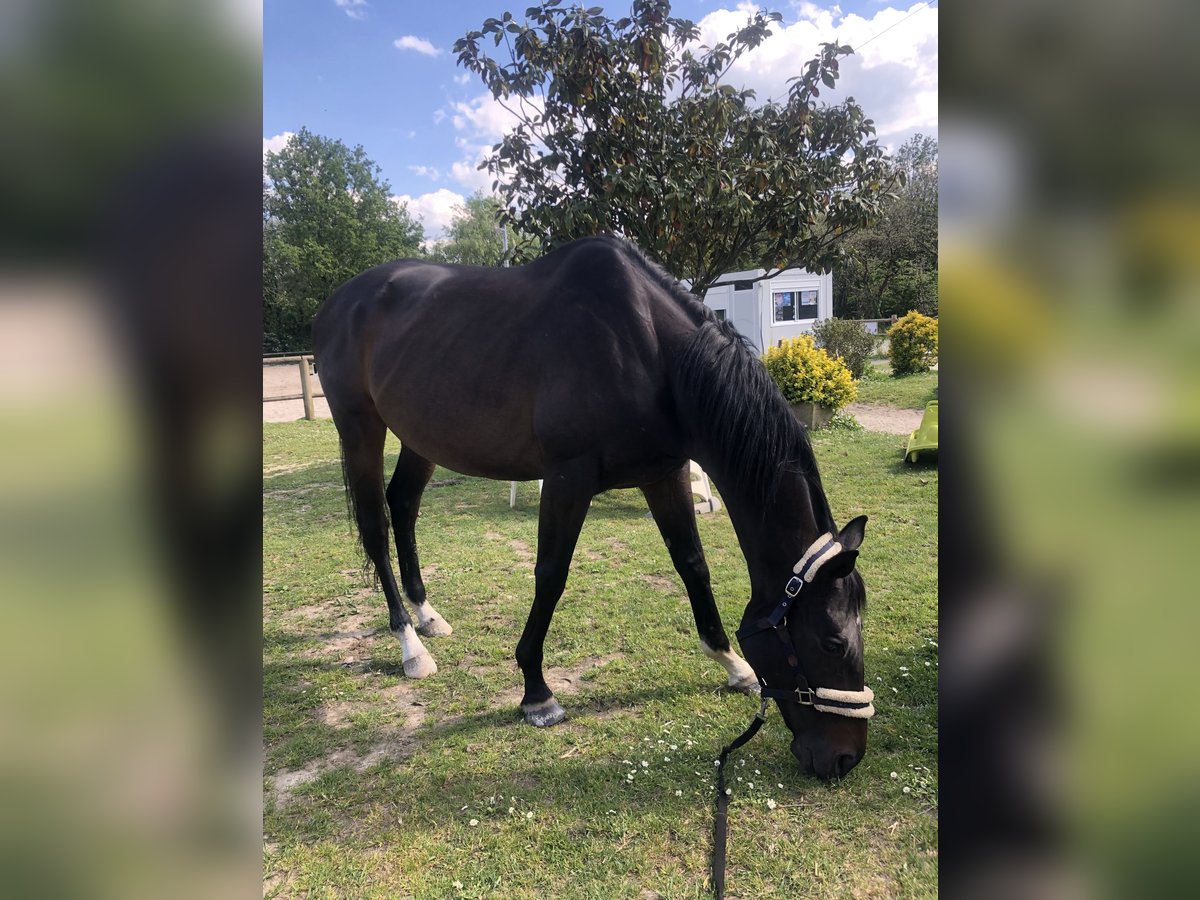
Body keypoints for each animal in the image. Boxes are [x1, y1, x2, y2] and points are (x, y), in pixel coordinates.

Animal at [309, 237, 873, 782]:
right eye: (831, 643)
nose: (845, 759)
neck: (651, 352)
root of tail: (338, 302)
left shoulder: (664, 474)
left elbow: (692, 564)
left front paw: (733, 665)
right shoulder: (567, 478)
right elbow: (550, 576)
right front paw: (536, 692)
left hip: (421, 438)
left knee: (403, 506)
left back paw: (427, 615)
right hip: (361, 430)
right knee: (377, 526)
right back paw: (410, 645)